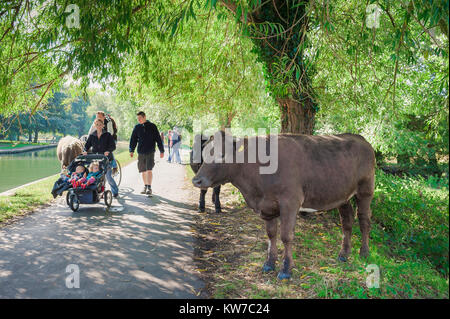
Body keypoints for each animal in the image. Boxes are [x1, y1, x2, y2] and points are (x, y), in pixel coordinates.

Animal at [192, 131, 376, 282]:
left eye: (222, 155)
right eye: (204, 154)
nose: (196, 180)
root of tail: (360, 138)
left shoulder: (290, 203)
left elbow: (286, 236)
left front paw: (286, 269)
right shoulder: (267, 206)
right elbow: (271, 234)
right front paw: (269, 263)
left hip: (366, 189)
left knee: (364, 220)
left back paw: (364, 252)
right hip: (343, 195)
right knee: (347, 221)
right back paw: (344, 254)